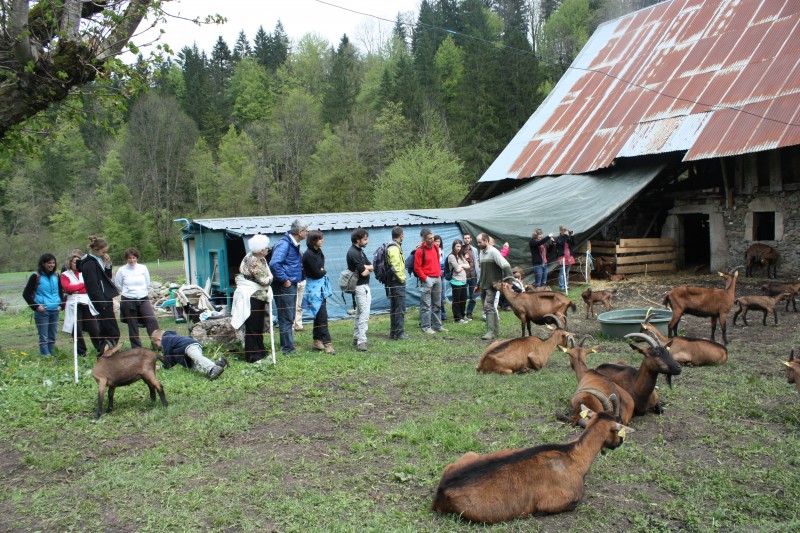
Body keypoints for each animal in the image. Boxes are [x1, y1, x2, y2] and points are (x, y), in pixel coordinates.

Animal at [432, 396, 632, 520]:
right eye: (619, 425)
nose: (620, 442)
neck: (573, 456)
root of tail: (441, 491)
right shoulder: (558, 500)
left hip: (470, 455)